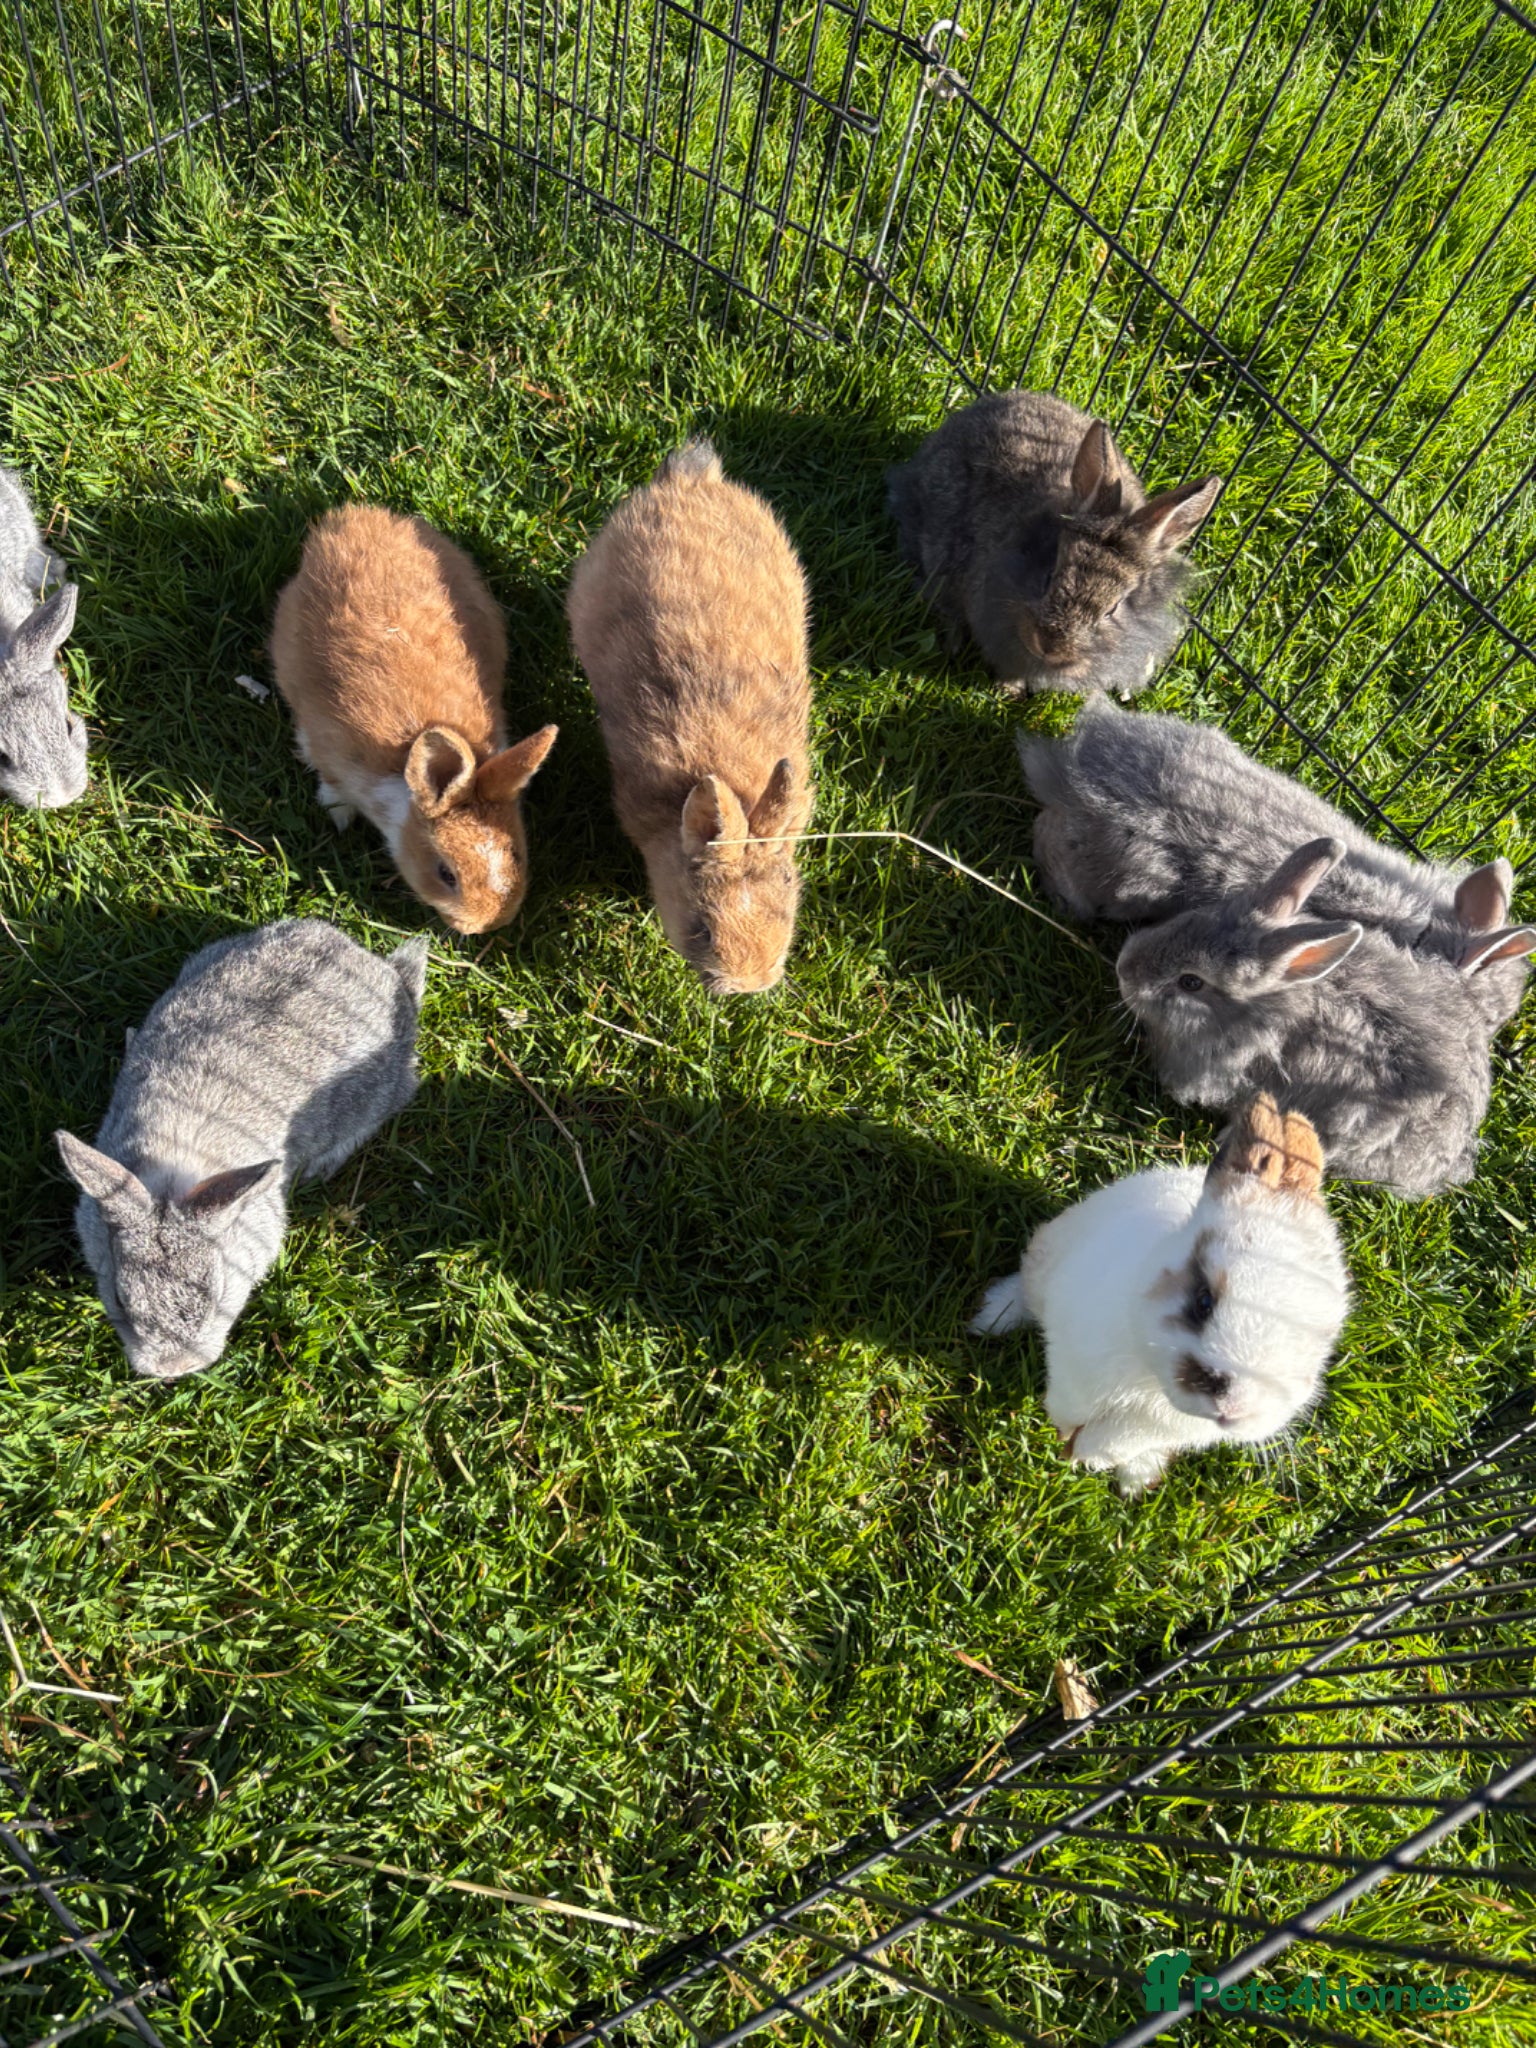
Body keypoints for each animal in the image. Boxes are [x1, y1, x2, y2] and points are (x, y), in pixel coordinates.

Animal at [970, 1095, 1350, 1496]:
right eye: (1203, 1301)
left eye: (1320, 1341)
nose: (1235, 1407)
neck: (1153, 1379)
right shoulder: (1075, 1365)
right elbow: (1069, 1403)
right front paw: (1066, 1435)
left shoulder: (1160, 1427)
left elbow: (1119, 1440)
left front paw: (1087, 1456)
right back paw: (989, 1316)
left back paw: (1137, 1480)